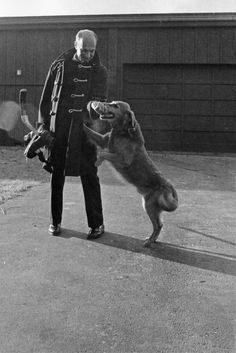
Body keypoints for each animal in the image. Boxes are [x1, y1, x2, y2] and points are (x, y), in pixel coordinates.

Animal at [84, 100, 178, 246]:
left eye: (115, 105)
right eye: (111, 102)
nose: (103, 102)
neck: (121, 131)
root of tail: (167, 185)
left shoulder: (122, 159)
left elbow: (103, 153)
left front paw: (98, 161)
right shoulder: (103, 140)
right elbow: (89, 131)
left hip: (149, 207)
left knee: (158, 225)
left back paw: (149, 241)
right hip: (149, 206)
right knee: (160, 224)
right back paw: (152, 239)